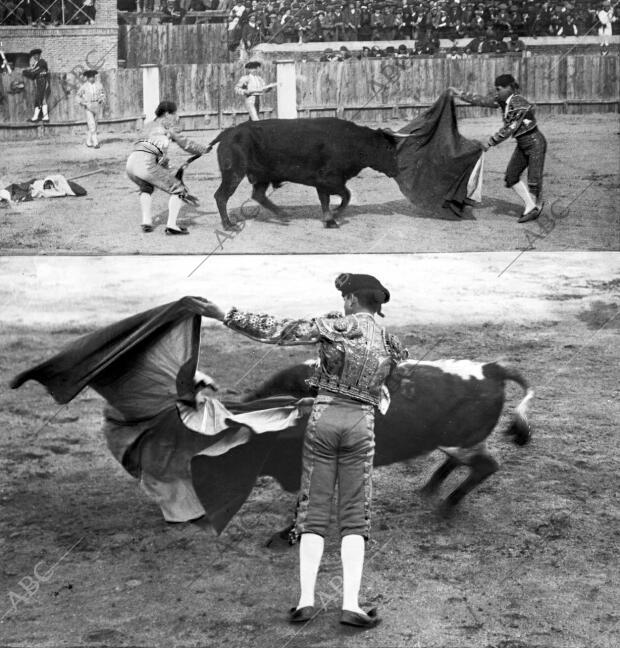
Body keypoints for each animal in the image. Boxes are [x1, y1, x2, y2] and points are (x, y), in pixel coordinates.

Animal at [205, 119, 406, 230]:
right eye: (389, 148)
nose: (397, 170)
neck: (353, 142)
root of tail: (228, 132)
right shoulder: (328, 179)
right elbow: (346, 195)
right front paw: (335, 215)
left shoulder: (323, 183)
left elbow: (326, 200)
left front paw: (330, 220)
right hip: (234, 174)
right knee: (221, 196)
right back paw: (229, 225)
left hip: (261, 176)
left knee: (258, 195)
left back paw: (283, 215)